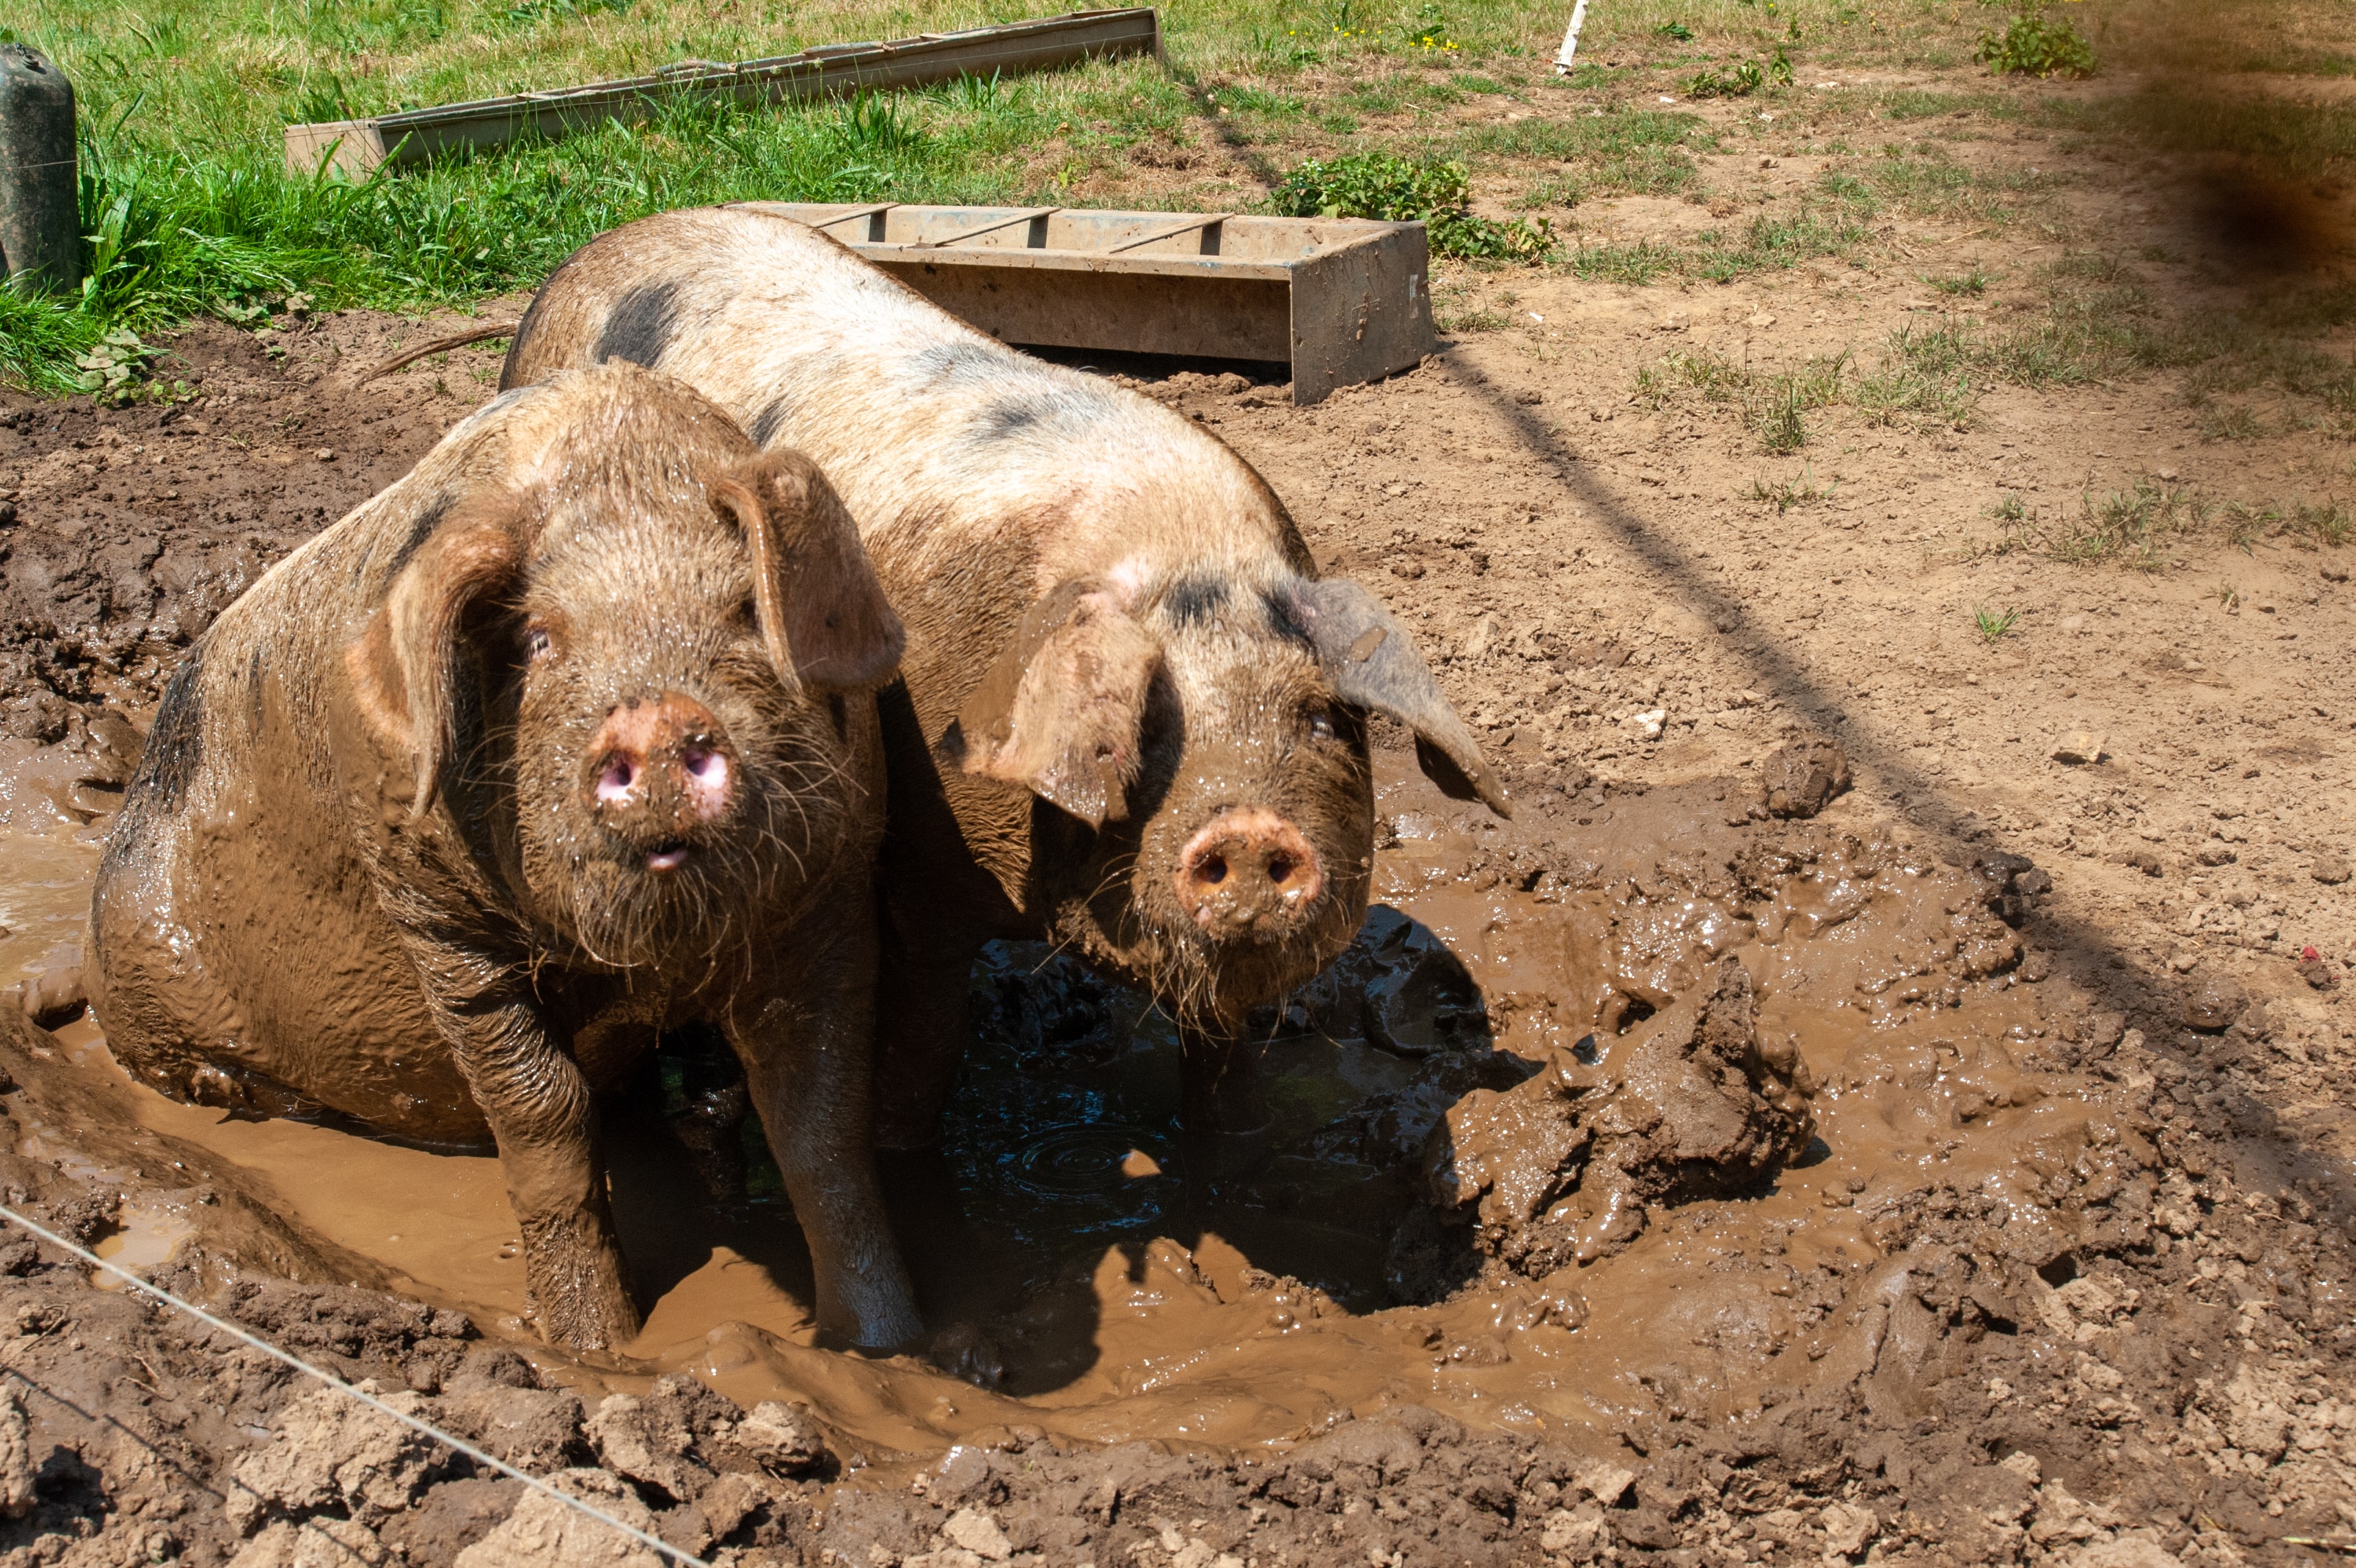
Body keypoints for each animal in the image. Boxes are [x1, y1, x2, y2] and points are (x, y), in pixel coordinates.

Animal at [92, 363, 923, 1348]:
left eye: (743, 611)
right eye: (538, 639)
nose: (654, 720)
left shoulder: (835, 890)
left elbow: (822, 1128)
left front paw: (887, 1348)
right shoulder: (432, 915)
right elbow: (542, 1116)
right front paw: (595, 1348)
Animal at [502, 205, 1507, 1136]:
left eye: (1319, 720)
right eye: (1148, 729)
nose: (1253, 830)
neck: (1182, 551)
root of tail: (592, 252)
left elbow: (1218, 1077)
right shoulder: (922, 864)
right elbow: (917, 1052)